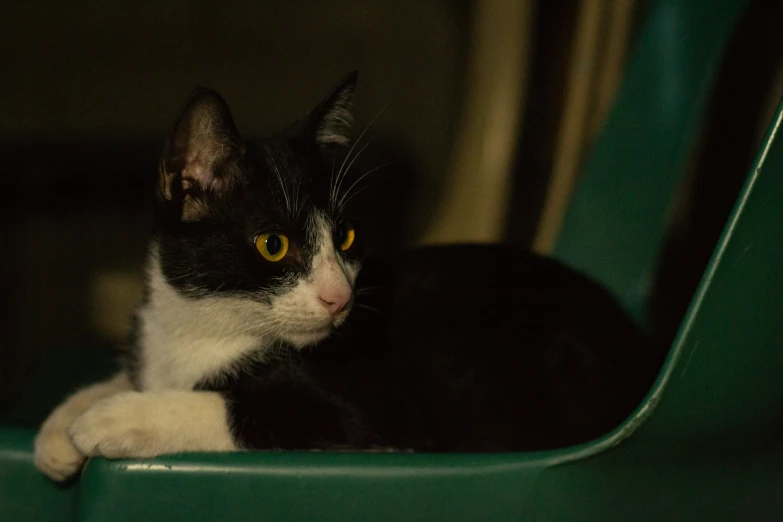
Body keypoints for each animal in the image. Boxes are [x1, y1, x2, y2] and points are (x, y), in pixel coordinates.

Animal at [33, 72, 664, 480]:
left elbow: (234, 409)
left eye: (347, 238)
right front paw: (62, 425)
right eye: (273, 245)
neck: (207, 326)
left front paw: (111, 417)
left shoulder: (370, 417)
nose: (341, 297)